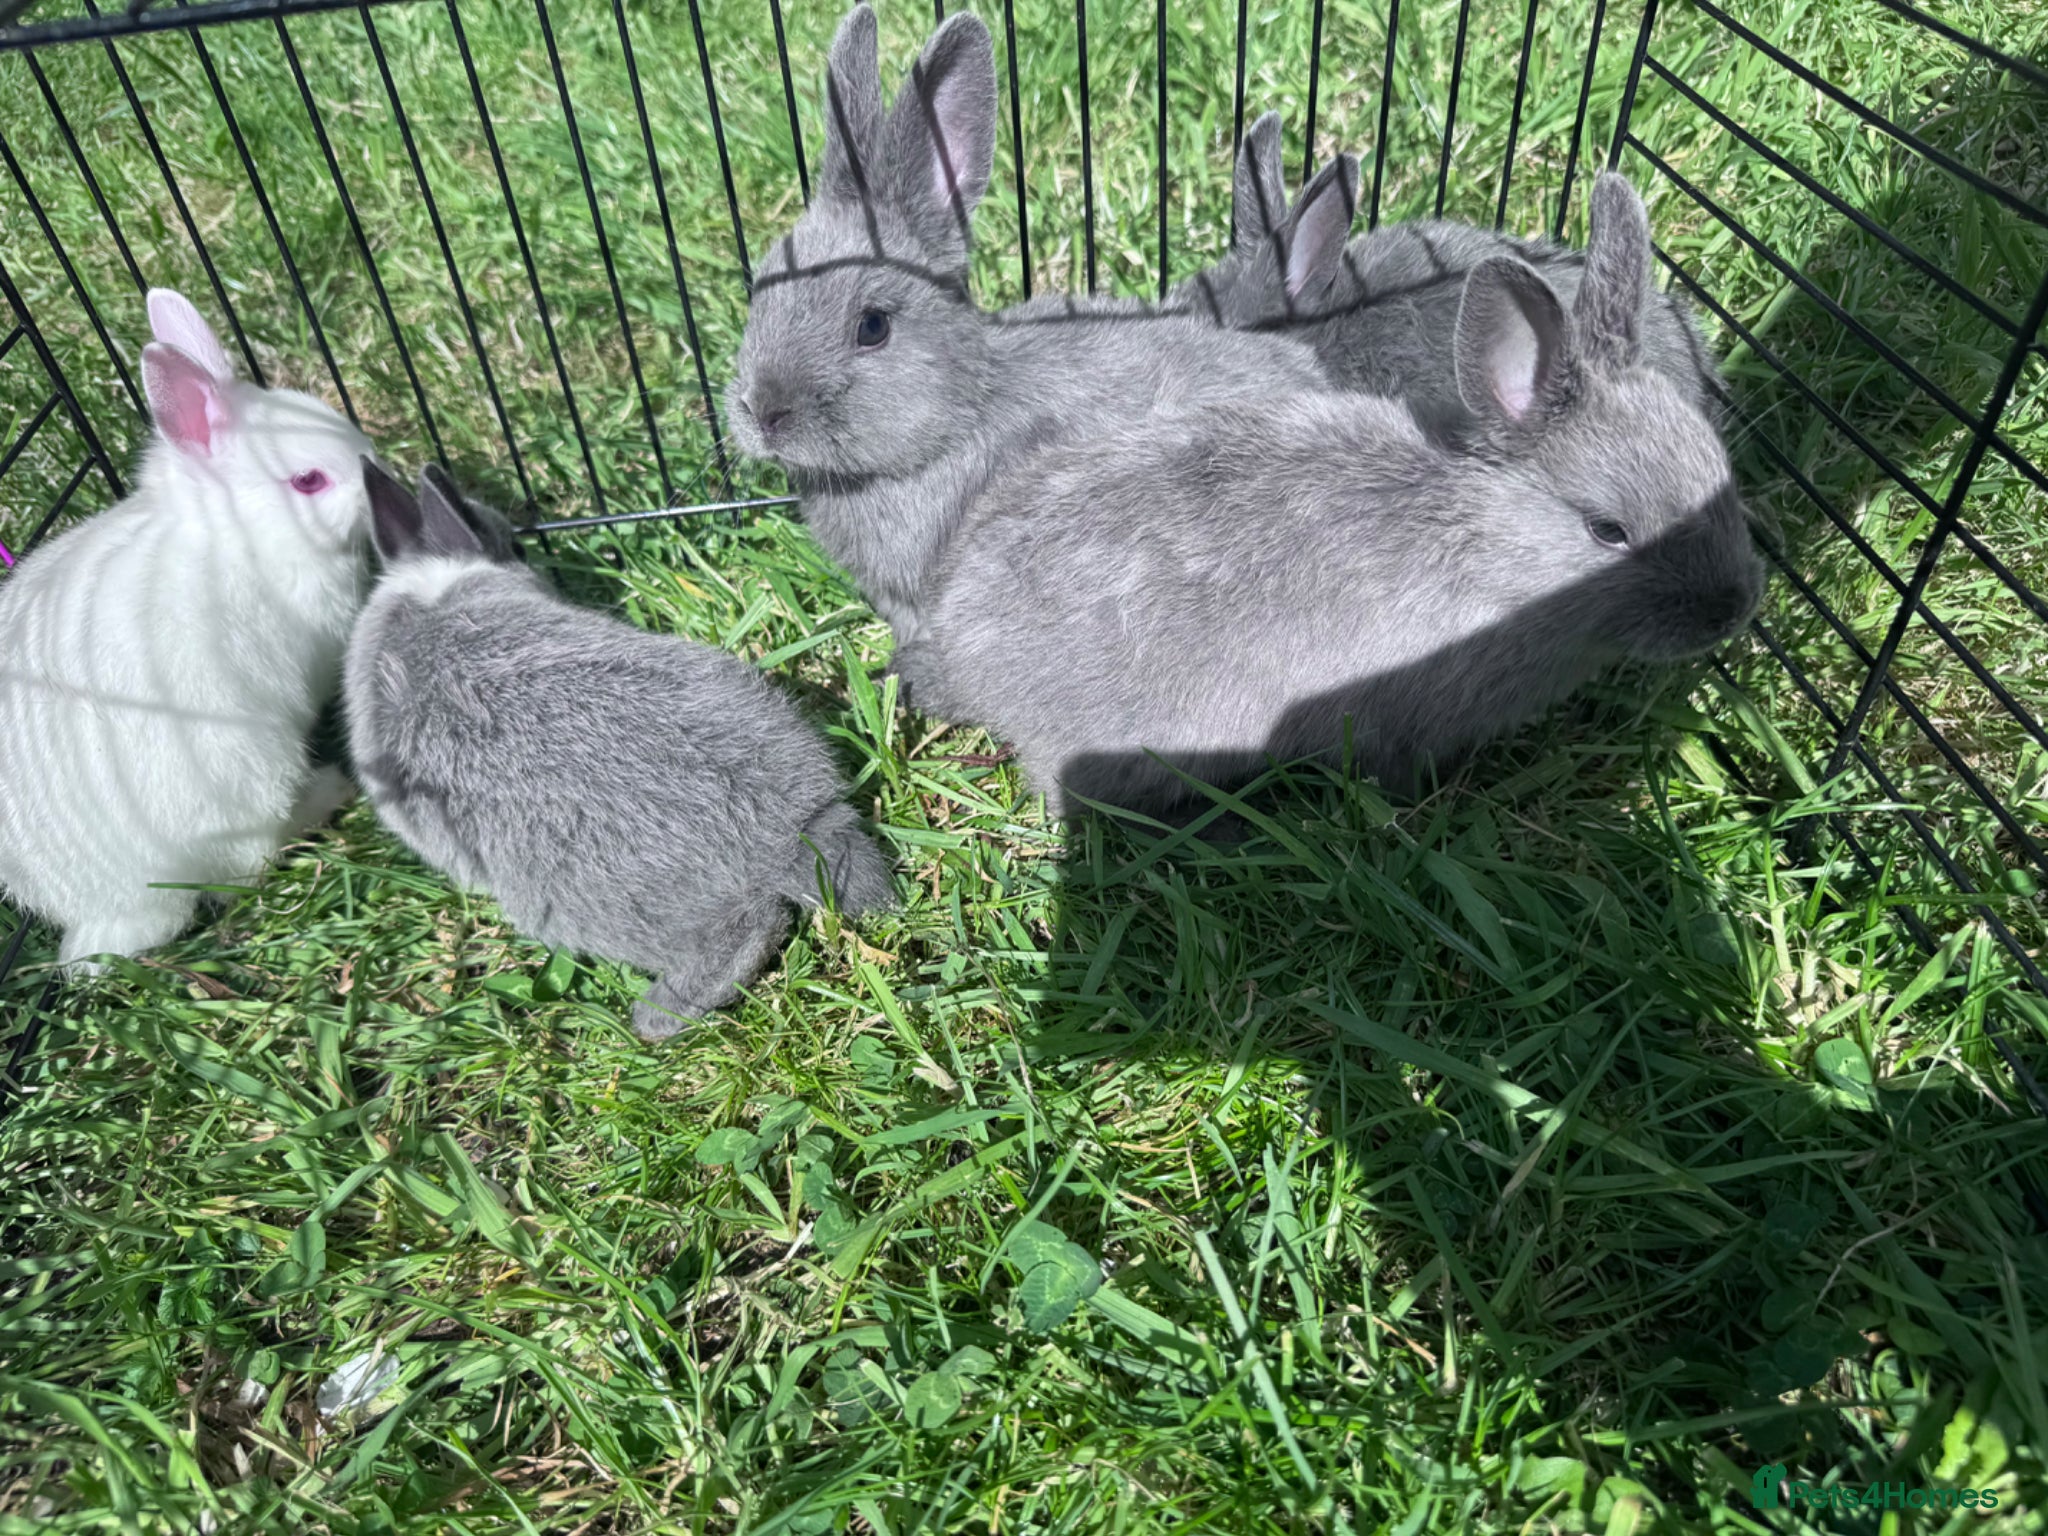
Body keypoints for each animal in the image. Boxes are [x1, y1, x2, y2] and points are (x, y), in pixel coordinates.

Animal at [0, 288, 373, 971]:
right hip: (253, 776)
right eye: (308, 480)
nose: (380, 471)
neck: (237, 534)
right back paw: (330, 791)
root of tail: (113, 905)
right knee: (249, 866)